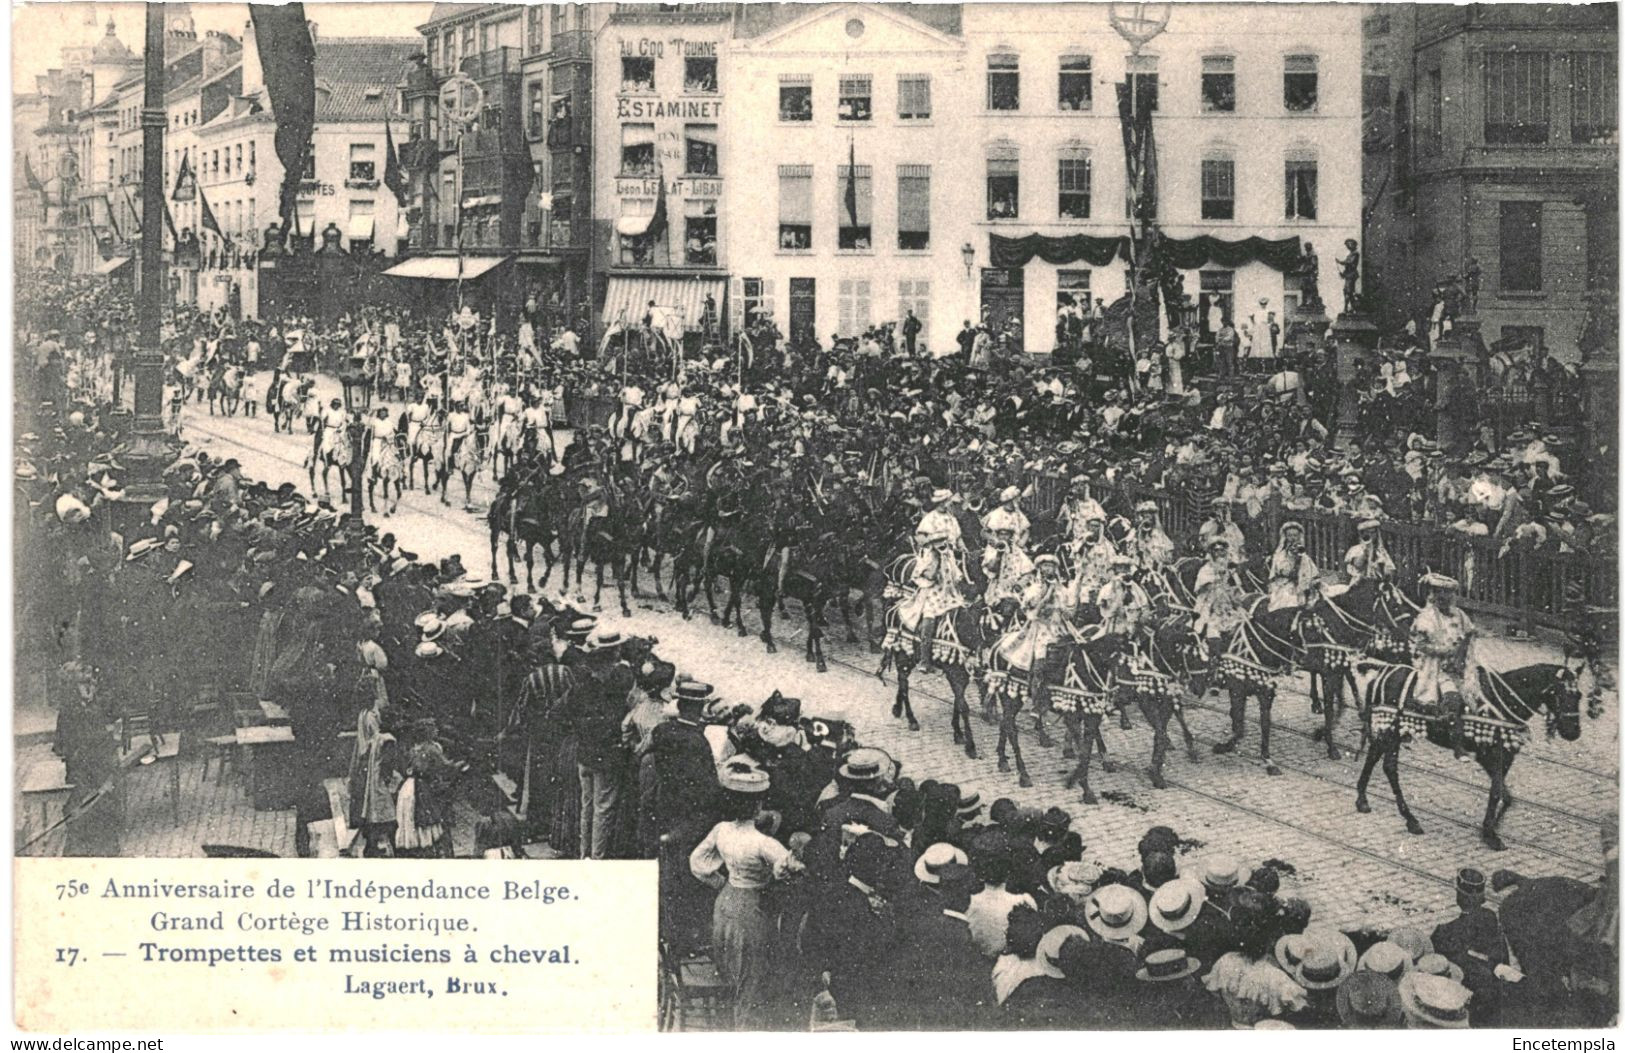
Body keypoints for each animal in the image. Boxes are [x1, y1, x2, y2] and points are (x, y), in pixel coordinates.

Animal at [1352, 656, 1579, 845]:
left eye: (1579, 695)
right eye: (1562, 694)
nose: (1574, 732)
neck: (1504, 700)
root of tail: (1384, 673)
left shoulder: (1500, 757)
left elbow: (1505, 795)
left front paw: (1491, 827)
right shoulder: (1491, 754)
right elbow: (1497, 792)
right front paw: (1490, 833)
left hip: (1389, 732)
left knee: (1373, 757)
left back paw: (1362, 800)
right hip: (1393, 732)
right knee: (1389, 767)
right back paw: (1411, 819)